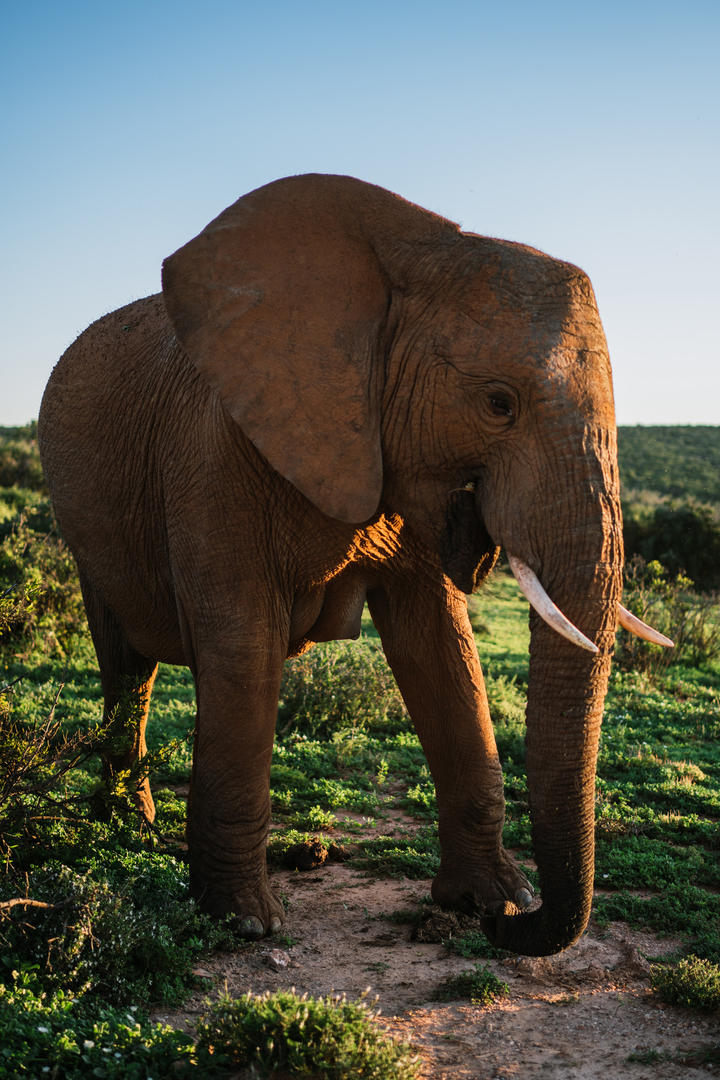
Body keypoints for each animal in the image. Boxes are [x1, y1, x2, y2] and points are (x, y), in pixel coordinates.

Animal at [36, 174, 669, 954]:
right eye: (499, 404)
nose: (510, 927)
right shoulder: (214, 452)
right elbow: (243, 647)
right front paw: (244, 922)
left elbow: (441, 647)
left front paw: (487, 898)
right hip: (84, 526)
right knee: (126, 661)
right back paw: (127, 823)